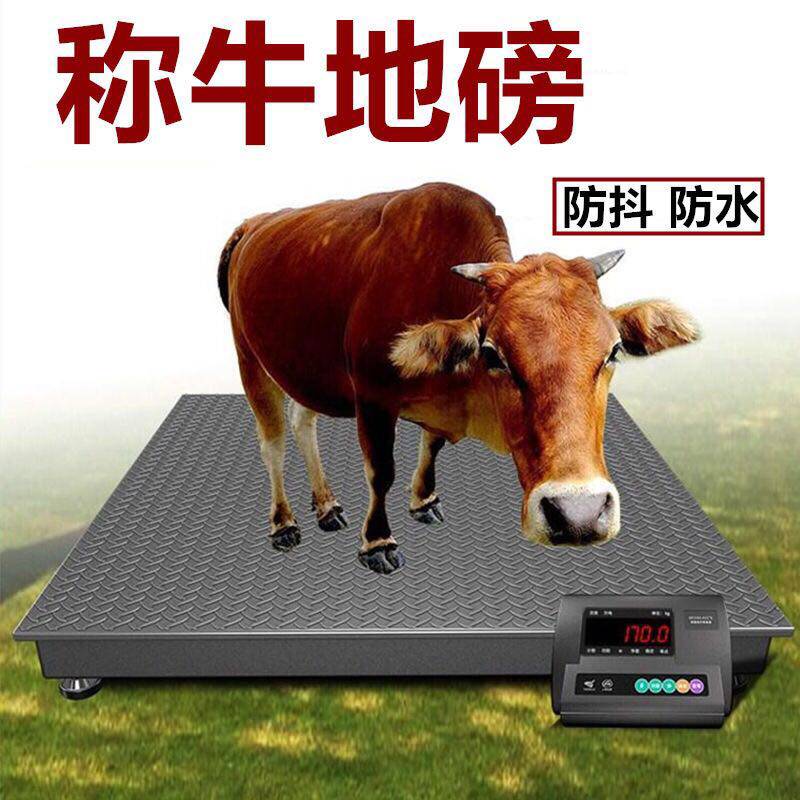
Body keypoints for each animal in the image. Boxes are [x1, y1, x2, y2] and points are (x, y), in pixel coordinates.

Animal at [219, 183, 699, 575]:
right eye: (493, 355)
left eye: (613, 351)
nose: (578, 513)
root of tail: (253, 223)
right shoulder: (372, 398)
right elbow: (380, 472)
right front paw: (377, 541)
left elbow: (430, 446)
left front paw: (424, 500)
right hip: (249, 358)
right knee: (273, 444)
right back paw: (284, 522)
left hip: (303, 367)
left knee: (304, 423)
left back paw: (326, 506)